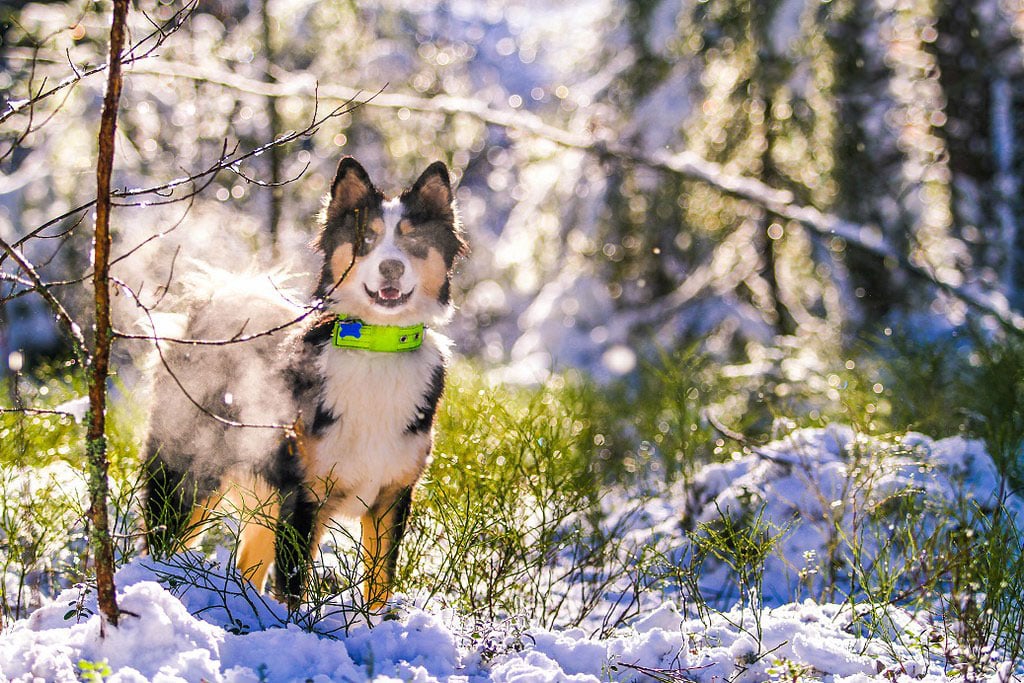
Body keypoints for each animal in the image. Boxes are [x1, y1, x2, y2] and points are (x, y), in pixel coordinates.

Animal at [141, 157, 468, 610]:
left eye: (413, 240)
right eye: (366, 238)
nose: (391, 267)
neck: (377, 347)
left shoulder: (392, 499)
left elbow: (379, 586)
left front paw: (374, 623)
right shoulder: (304, 497)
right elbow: (293, 589)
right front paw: (294, 625)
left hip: (263, 503)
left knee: (247, 569)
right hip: (189, 480)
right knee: (159, 546)